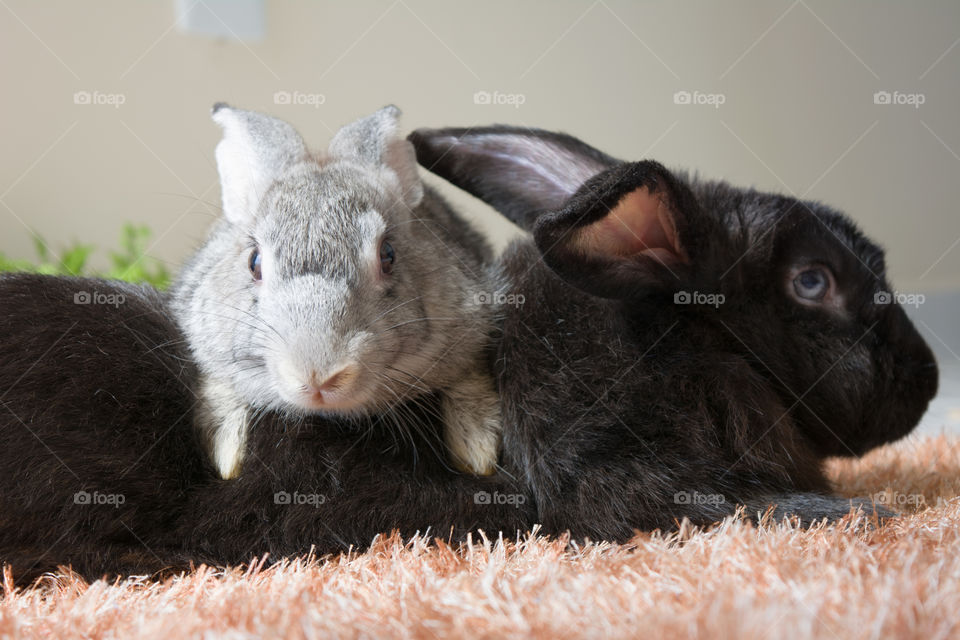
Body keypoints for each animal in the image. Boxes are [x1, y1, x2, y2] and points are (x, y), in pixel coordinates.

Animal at [171, 104, 504, 480]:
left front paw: (477, 453)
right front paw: (227, 457)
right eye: (254, 261)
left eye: (388, 255)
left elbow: (470, 378)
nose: (319, 376)